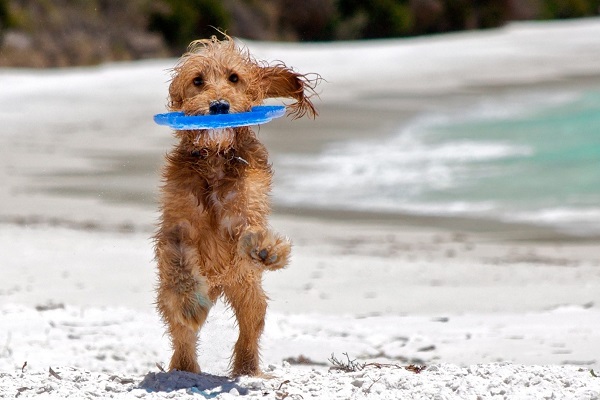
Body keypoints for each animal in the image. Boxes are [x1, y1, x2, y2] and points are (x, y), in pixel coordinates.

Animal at [155, 36, 318, 376]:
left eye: (234, 78)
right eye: (198, 80)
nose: (219, 106)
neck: (215, 158)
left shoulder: (245, 211)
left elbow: (251, 231)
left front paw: (267, 249)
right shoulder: (176, 228)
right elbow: (179, 263)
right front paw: (190, 303)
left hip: (247, 290)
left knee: (250, 327)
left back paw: (247, 369)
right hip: (171, 298)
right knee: (181, 333)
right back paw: (185, 367)